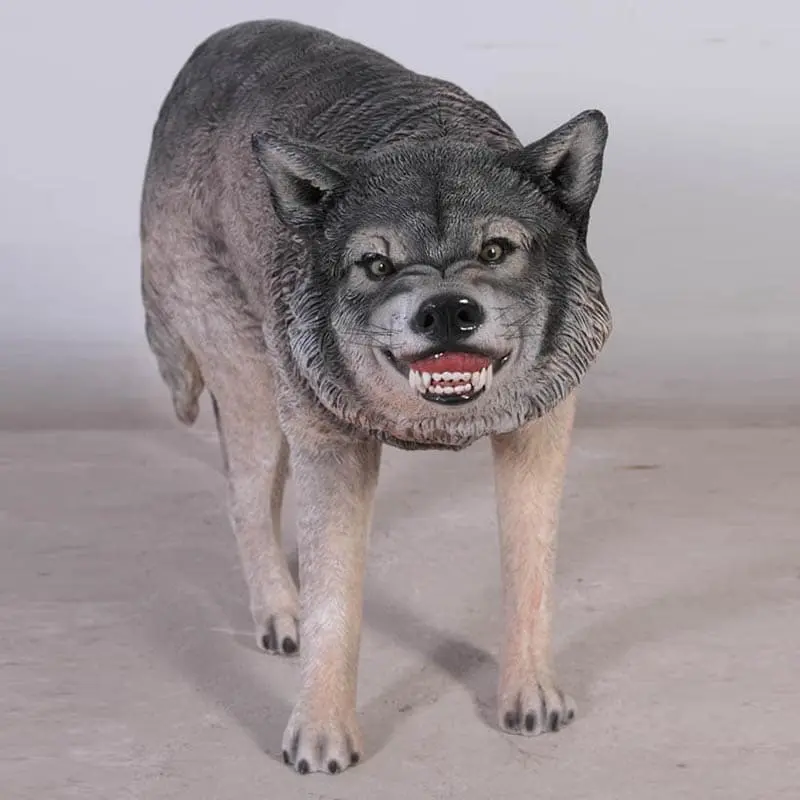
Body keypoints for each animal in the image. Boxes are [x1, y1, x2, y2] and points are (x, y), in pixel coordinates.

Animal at [141, 20, 612, 775]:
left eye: (496, 250)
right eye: (377, 264)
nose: (447, 310)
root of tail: (203, 54)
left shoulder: (539, 430)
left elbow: (530, 570)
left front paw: (529, 695)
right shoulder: (334, 447)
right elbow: (336, 603)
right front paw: (321, 733)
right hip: (252, 385)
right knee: (244, 498)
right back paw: (281, 613)